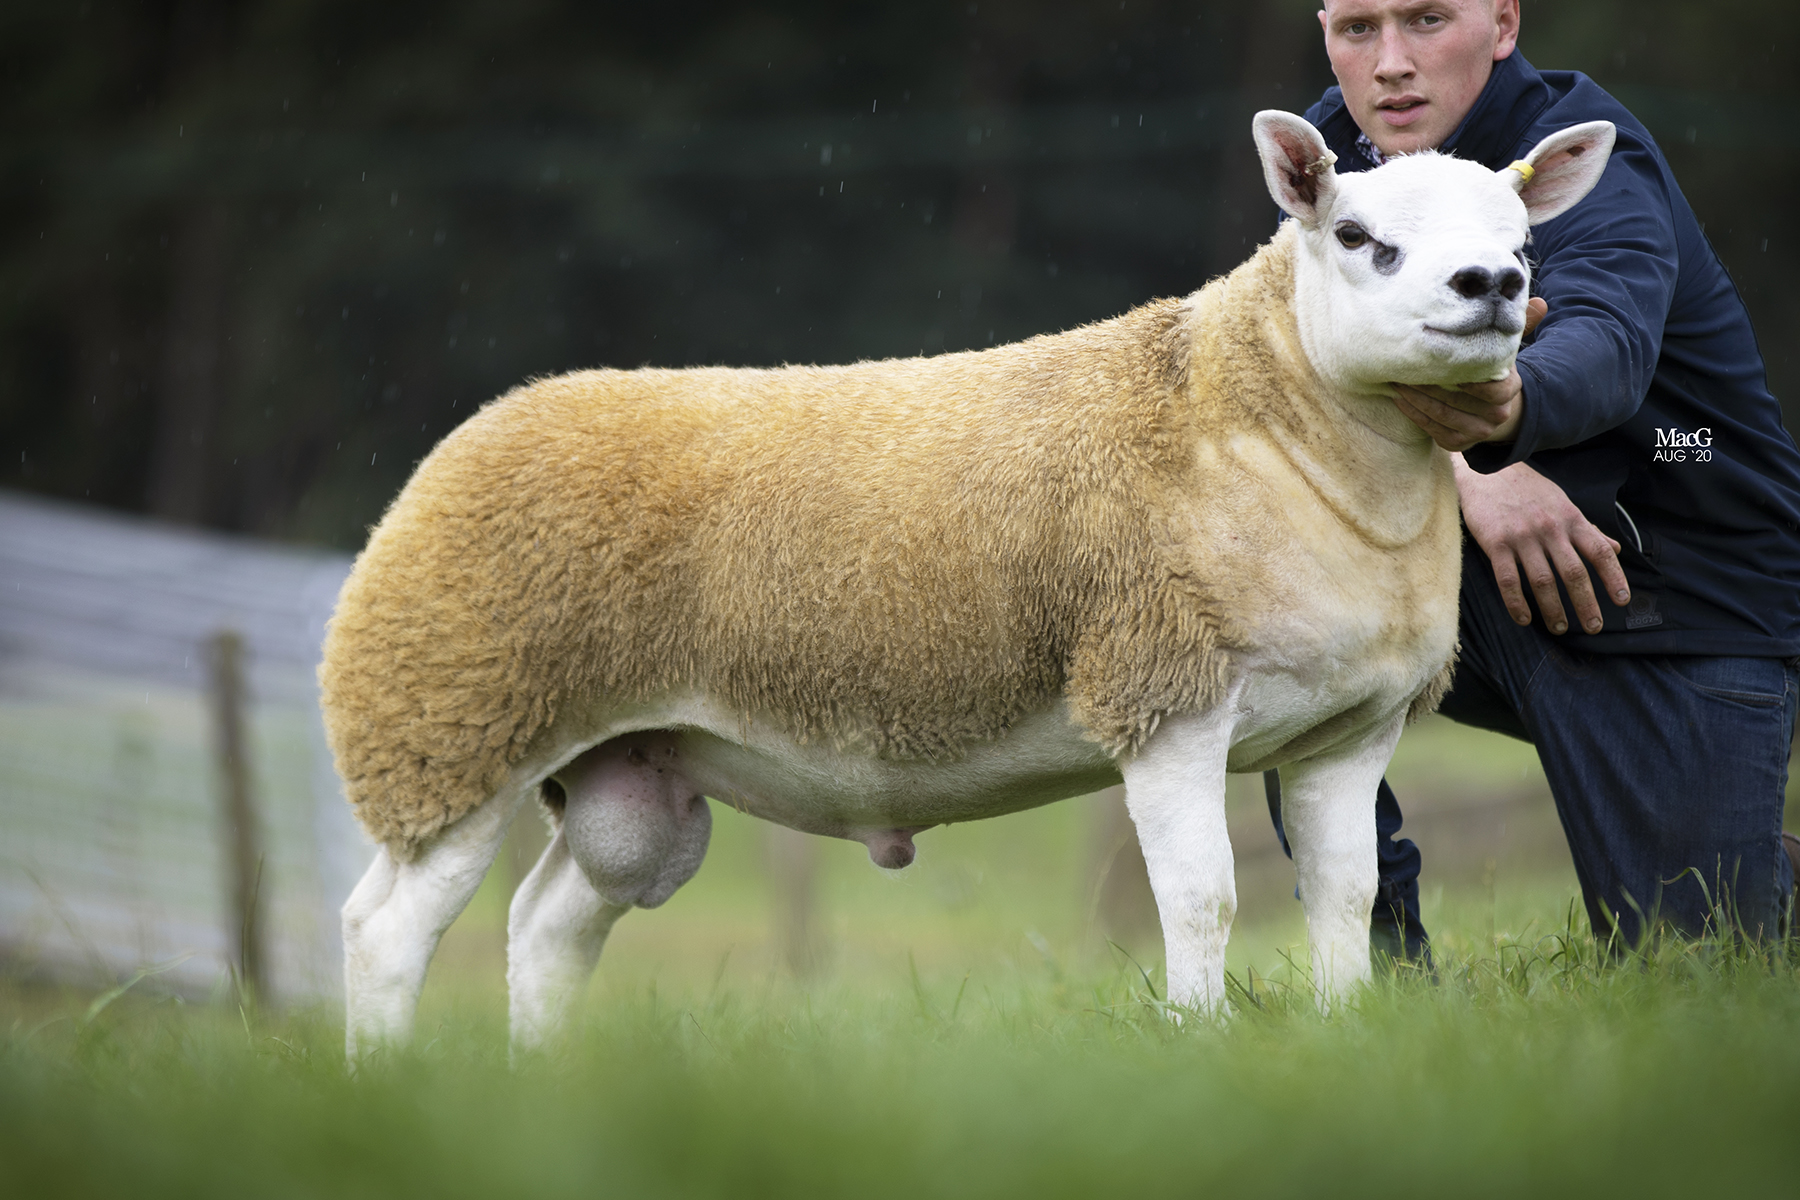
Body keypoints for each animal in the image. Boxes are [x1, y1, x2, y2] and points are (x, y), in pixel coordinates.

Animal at [327, 110, 1620, 1050]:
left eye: (1522, 237)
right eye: (1356, 235)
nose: (1489, 285)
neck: (1273, 426)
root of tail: (484, 426)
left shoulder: (1351, 729)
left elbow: (1346, 895)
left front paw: (1345, 1032)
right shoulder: (1162, 692)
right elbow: (1203, 897)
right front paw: (1196, 1041)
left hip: (625, 772)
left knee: (547, 926)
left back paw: (536, 1083)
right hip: (447, 725)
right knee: (384, 931)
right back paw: (383, 1082)